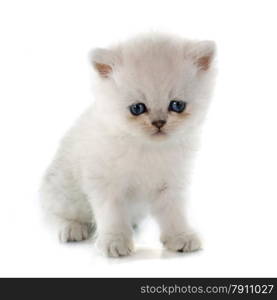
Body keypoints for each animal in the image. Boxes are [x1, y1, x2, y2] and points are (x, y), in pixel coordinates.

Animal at [40, 33, 216, 258]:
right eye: (137, 108)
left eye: (177, 105)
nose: (159, 123)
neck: (148, 148)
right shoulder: (105, 183)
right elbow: (112, 214)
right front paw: (115, 241)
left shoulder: (171, 183)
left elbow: (174, 212)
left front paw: (181, 236)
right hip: (65, 193)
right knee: (55, 215)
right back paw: (72, 228)